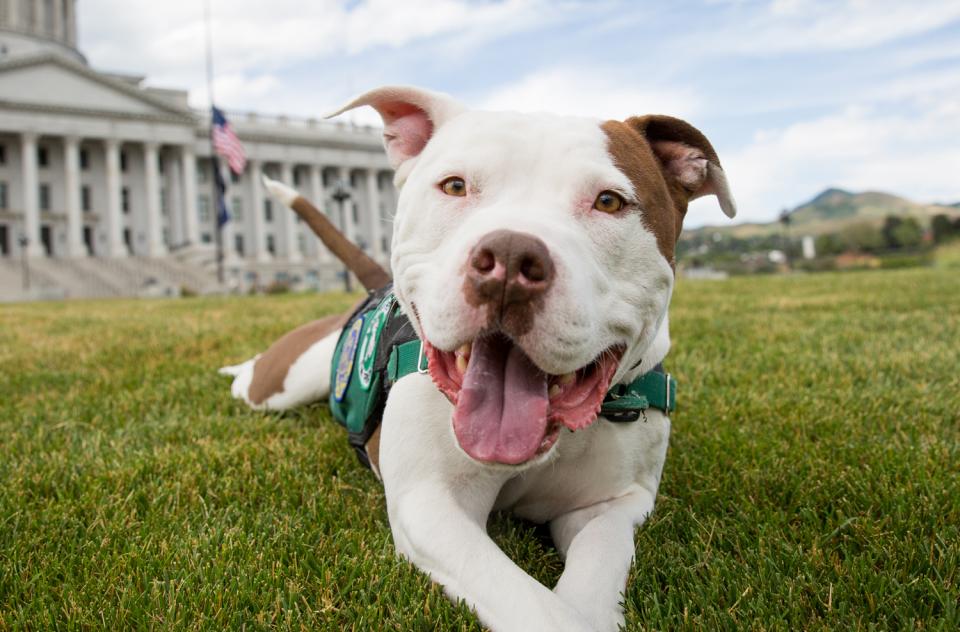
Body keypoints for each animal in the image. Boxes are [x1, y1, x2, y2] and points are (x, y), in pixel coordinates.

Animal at [223, 85, 736, 632]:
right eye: (454, 186)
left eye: (609, 201)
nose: (510, 259)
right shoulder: (433, 506)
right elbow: (538, 608)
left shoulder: (612, 506)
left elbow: (594, 574)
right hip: (282, 384)